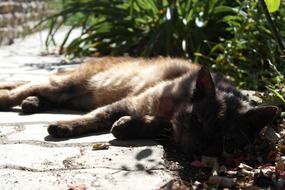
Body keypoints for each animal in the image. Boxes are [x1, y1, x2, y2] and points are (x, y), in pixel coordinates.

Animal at [0, 57, 278, 157]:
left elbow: (160, 125)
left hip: (68, 95)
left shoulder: (151, 112)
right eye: (197, 120)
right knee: (18, 89)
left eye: (225, 140)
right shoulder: (133, 102)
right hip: (65, 84)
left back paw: (32, 104)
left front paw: (127, 126)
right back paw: (12, 99)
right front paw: (66, 126)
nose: (200, 150)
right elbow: (97, 117)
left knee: (36, 93)